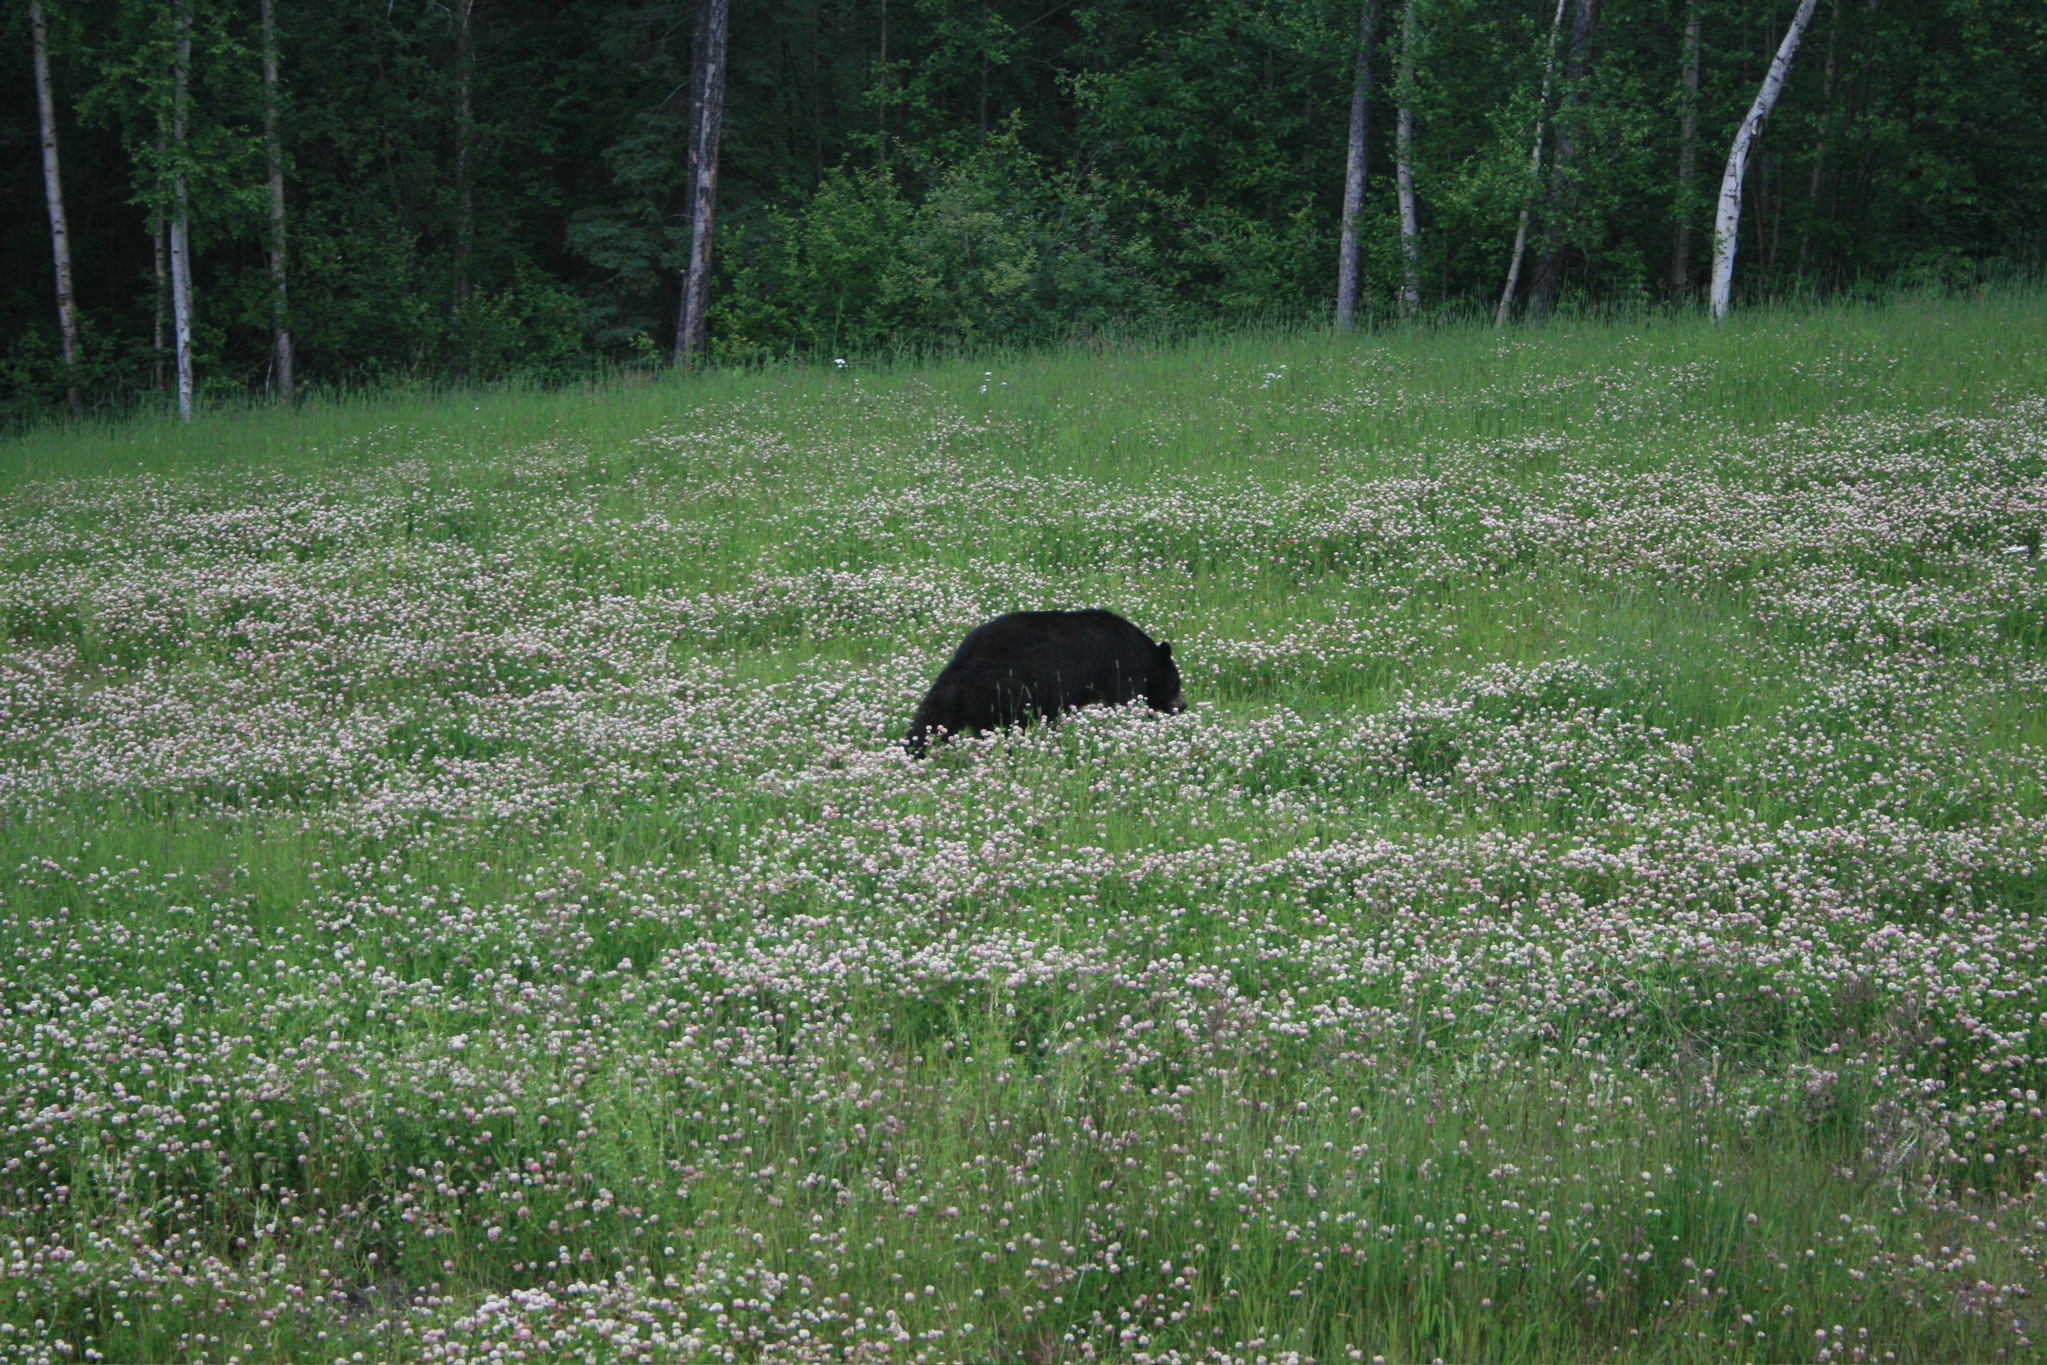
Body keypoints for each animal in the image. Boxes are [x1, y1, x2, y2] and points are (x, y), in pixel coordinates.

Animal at [908, 609, 1195, 757]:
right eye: (1176, 683)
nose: (1183, 705)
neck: (1141, 652)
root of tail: (964, 664)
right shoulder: (1119, 666)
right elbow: (1124, 700)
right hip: (1005, 690)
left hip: (952, 693)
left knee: (930, 719)